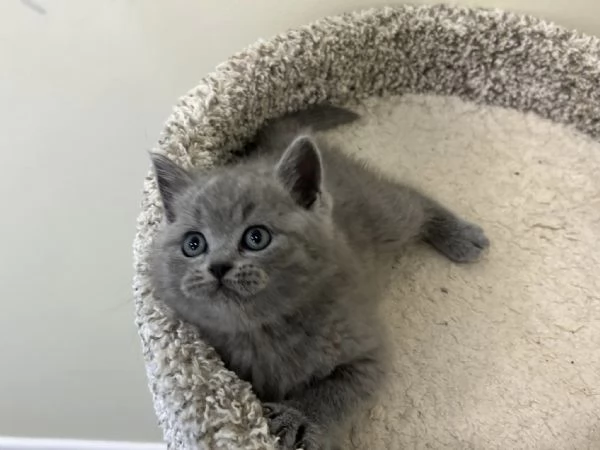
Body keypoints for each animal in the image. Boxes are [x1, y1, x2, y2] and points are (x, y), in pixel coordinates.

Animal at [149, 103, 488, 448]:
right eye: (193, 244)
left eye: (256, 237)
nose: (218, 266)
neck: (264, 333)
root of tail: (278, 143)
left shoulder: (366, 353)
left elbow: (333, 393)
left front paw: (296, 417)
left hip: (383, 213)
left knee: (411, 199)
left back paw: (459, 236)